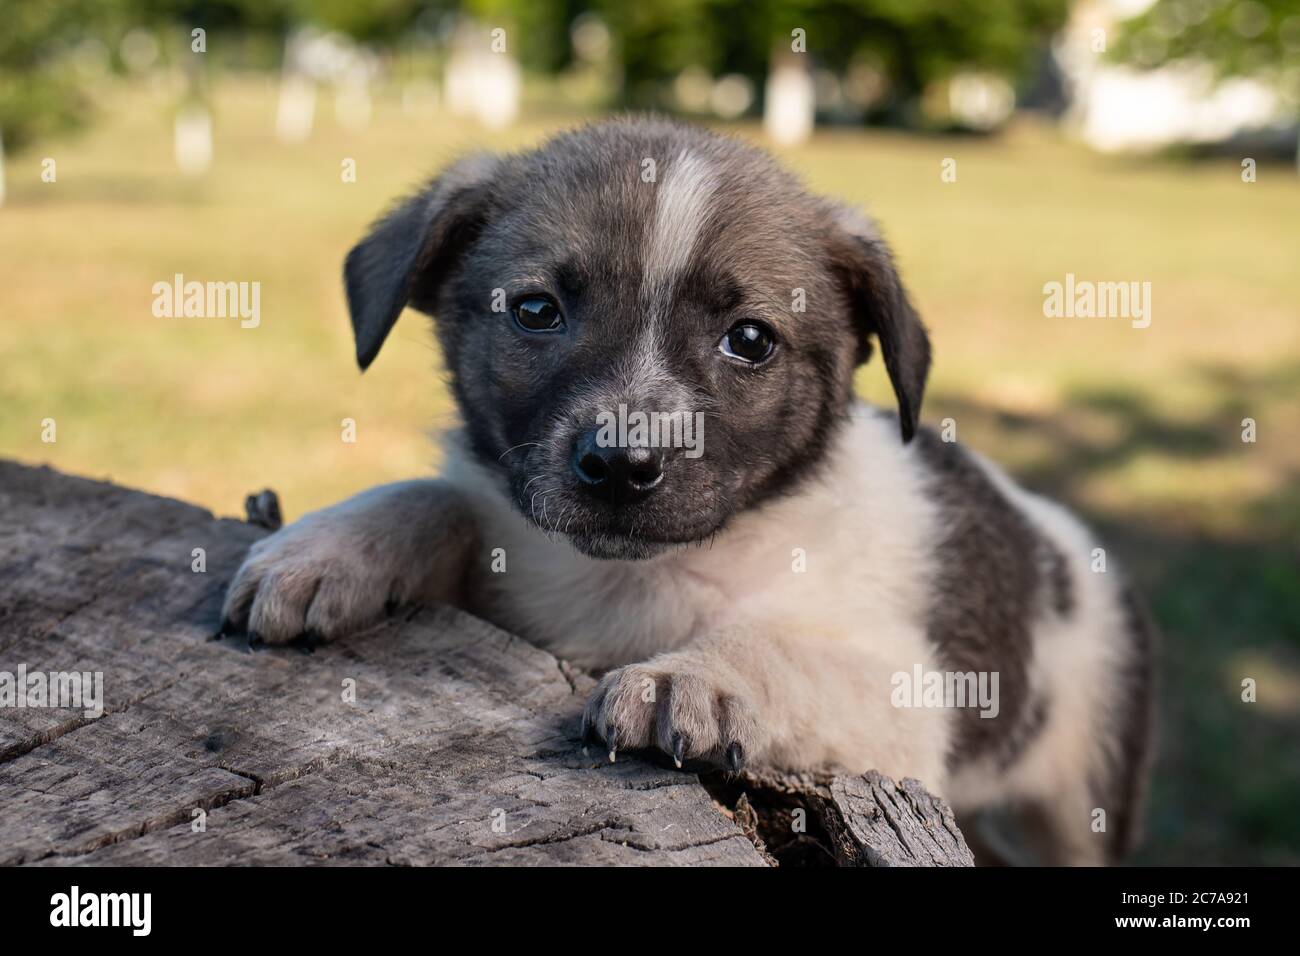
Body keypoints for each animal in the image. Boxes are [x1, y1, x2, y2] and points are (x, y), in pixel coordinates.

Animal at [223, 117, 1159, 868]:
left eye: (749, 339)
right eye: (536, 310)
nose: (622, 465)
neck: (637, 577)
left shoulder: (908, 695)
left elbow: (782, 647)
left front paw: (699, 677)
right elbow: (439, 499)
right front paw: (323, 548)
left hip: (1079, 791)